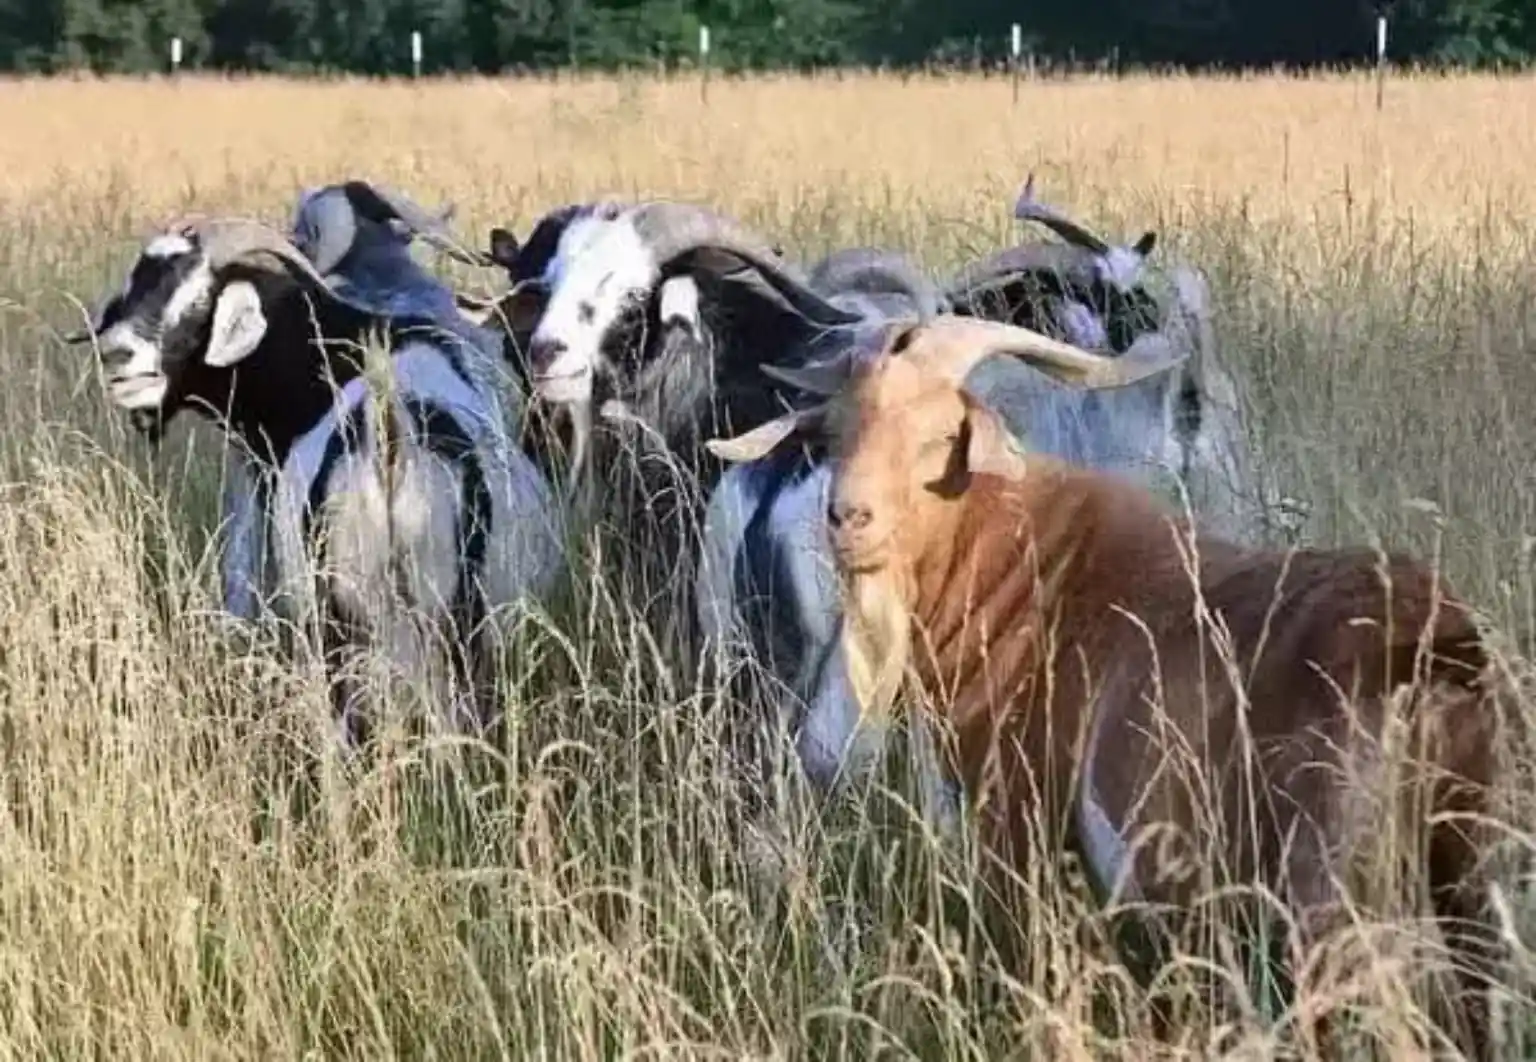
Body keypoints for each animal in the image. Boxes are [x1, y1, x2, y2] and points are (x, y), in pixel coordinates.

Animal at [707, 315, 1517, 1059]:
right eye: (839, 431)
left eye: (940, 435)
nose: (849, 518)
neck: (1019, 561)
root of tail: (1439, 646)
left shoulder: (1018, 819)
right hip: (1466, 876)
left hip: (1332, 893)